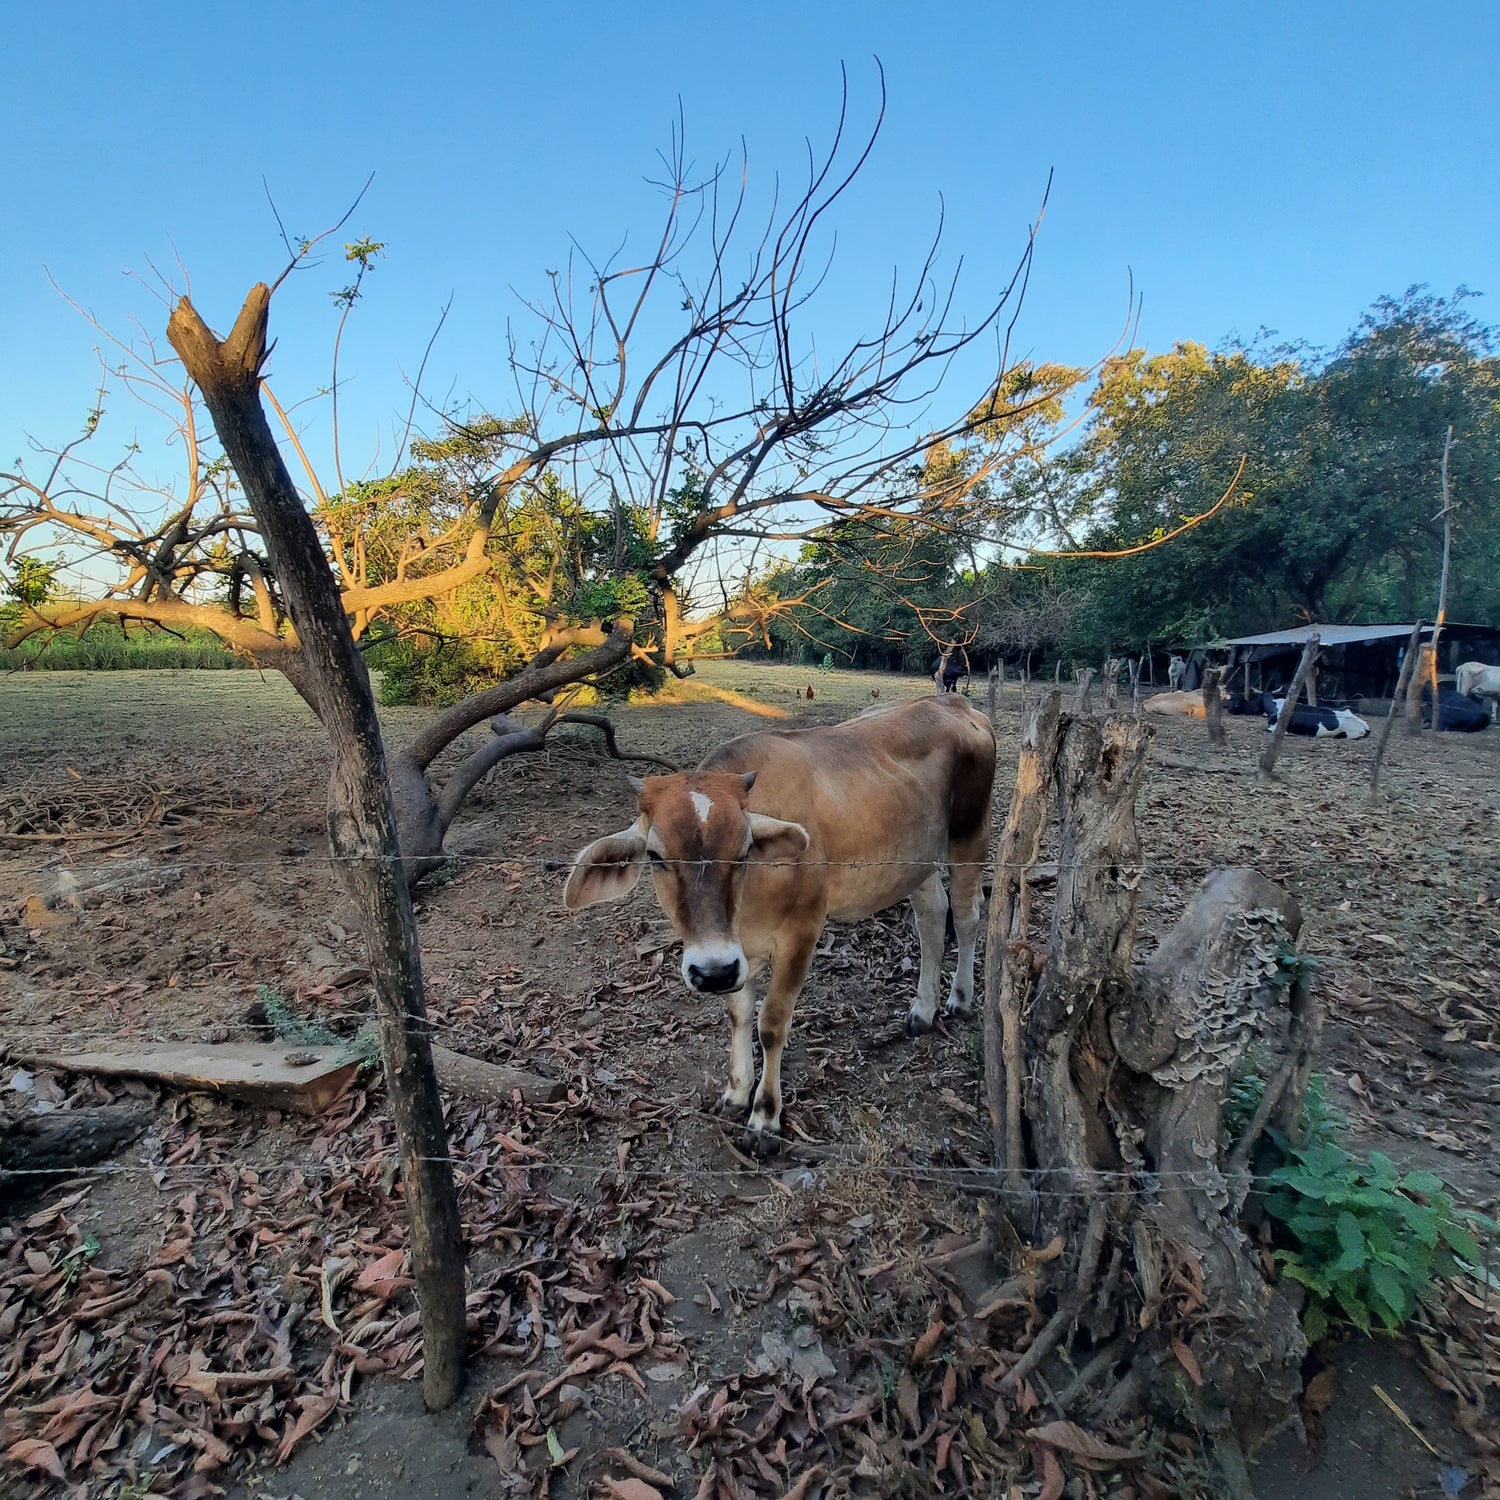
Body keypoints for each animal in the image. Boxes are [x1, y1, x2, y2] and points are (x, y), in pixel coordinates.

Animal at [564, 696, 996, 1152]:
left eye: (744, 851)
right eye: (655, 856)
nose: (710, 971)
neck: (747, 907)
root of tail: (954, 702)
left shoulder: (802, 931)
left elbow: (771, 1024)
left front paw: (765, 1116)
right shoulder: (737, 955)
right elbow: (738, 1014)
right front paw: (737, 1093)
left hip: (969, 835)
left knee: (966, 915)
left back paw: (960, 998)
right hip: (915, 863)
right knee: (931, 919)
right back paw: (922, 1010)